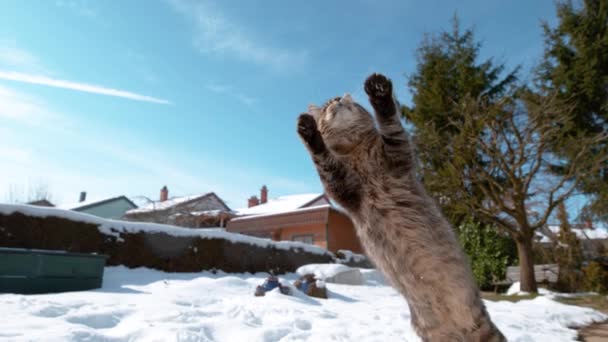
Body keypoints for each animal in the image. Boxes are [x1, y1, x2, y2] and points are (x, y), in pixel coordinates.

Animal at [296, 73, 506, 340]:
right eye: (325, 107)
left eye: (341, 100)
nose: (336, 99)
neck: (356, 150)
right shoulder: (341, 187)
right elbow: (322, 157)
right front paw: (308, 131)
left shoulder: (397, 154)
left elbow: (389, 121)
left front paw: (379, 92)